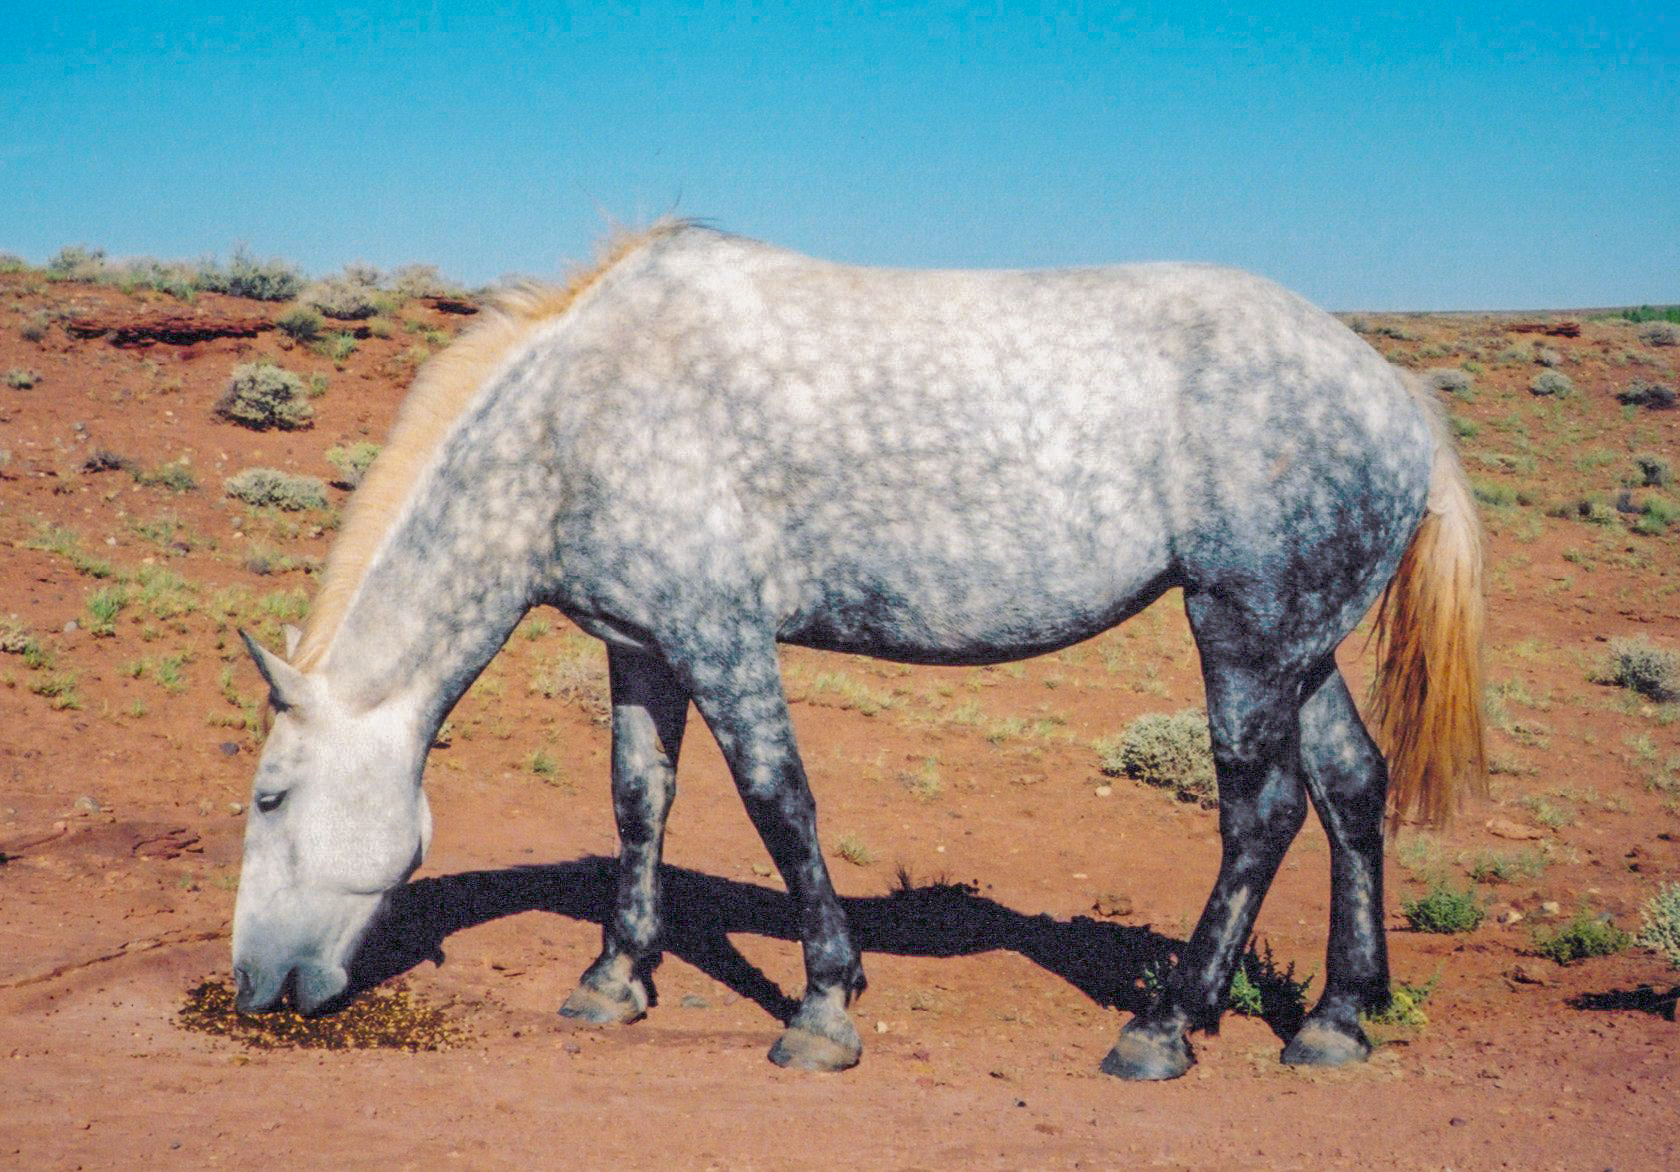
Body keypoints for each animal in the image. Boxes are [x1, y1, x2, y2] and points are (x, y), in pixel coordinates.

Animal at [231, 221, 1485, 1080]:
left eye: (270, 795)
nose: (251, 986)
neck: (580, 414)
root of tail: (1395, 393)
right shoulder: (642, 648)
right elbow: (640, 800)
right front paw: (613, 977)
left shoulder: (722, 638)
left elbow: (779, 800)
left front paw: (823, 1007)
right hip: (1299, 645)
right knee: (1351, 786)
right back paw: (1334, 1021)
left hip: (1244, 633)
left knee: (1260, 811)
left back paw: (1165, 1024)